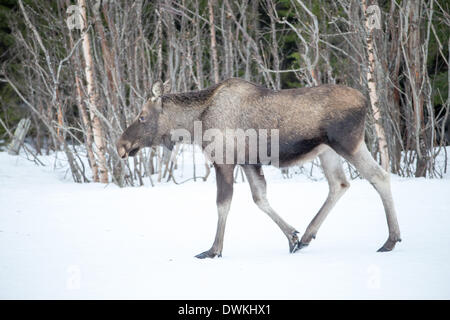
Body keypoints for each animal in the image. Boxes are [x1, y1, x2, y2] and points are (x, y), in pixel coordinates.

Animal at [116, 78, 400, 260]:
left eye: (142, 116)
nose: (121, 146)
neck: (194, 124)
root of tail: (365, 101)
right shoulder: (248, 162)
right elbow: (260, 198)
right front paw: (292, 237)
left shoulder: (224, 160)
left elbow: (223, 204)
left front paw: (214, 250)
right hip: (327, 151)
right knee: (339, 184)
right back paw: (307, 236)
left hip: (348, 143)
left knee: (379, 176)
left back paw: (390, 240)